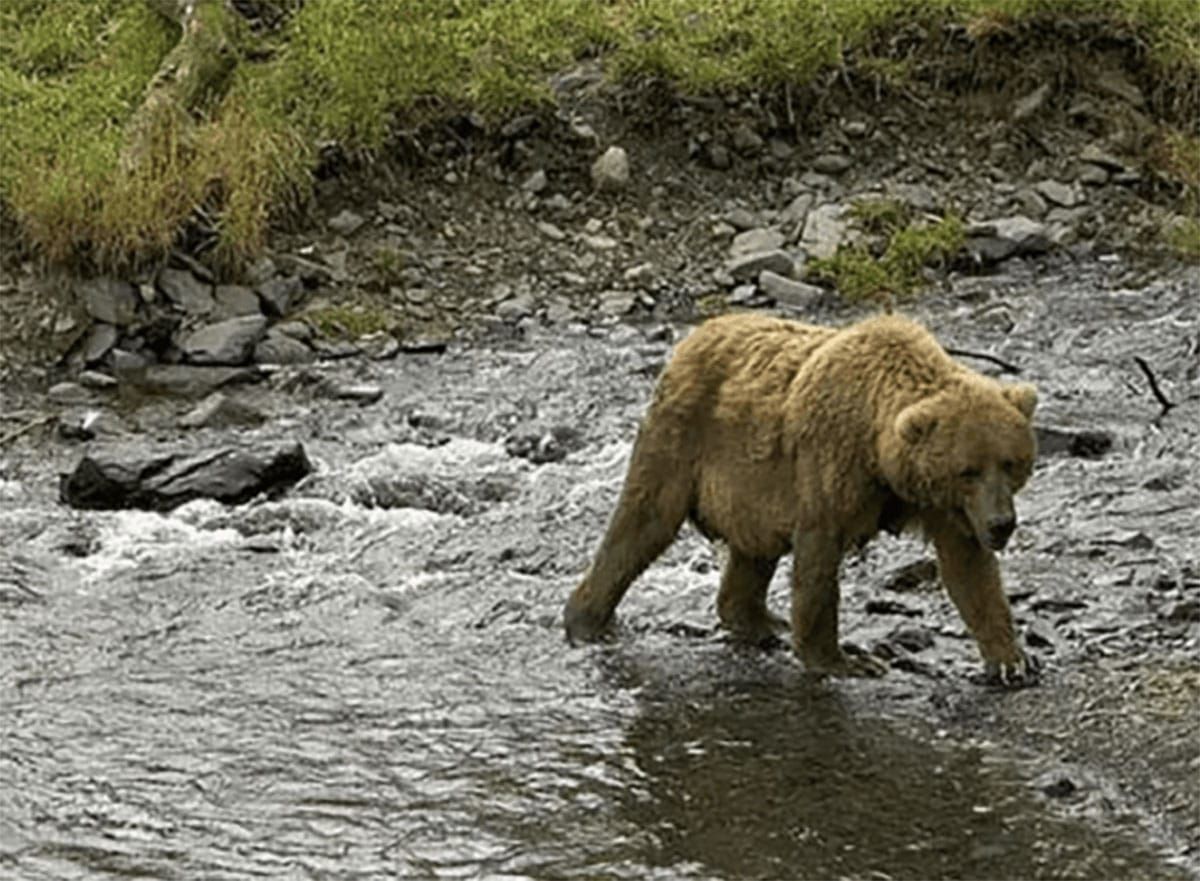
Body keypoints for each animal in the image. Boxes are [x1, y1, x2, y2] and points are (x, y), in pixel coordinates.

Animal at [563, 312, 1039, 686]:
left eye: (1010, 462)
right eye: (968, 470)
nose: (1002, 524)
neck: (883, 458)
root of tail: (693, 337)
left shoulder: (944, 505)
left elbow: (969, 571)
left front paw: (1012, 662)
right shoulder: (831, 465)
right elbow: (818, 562)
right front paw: (843, 661)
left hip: (751, 489)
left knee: (752, 551)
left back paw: (759, 620)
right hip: (685, 436)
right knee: (643, 523)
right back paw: (588, 619)